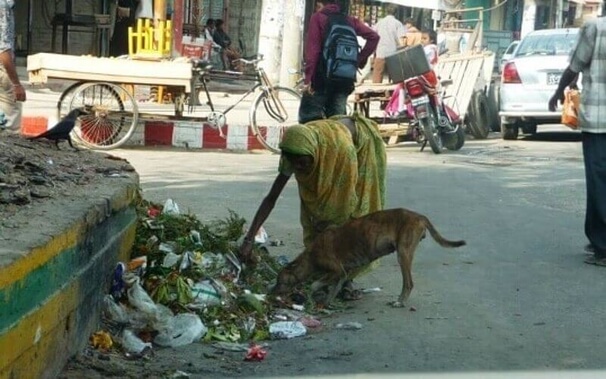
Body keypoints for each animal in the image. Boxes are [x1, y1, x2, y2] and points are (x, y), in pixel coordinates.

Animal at [274, 208, 468, 308]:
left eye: (279, 280)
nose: (271, 292)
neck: (310, 255)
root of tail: (419, 216)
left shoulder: (336, 269)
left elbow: (315, 283)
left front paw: (313, 296)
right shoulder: (343, 273)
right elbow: (334, 288)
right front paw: (327, 303)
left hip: (403, 254)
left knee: (409, 283)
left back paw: (400, 302)